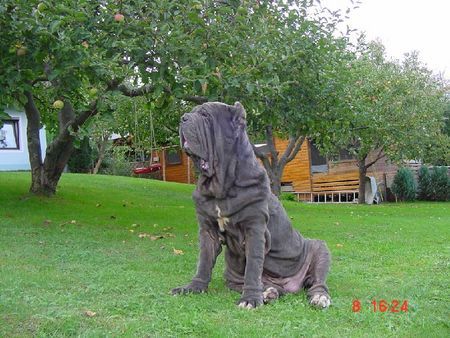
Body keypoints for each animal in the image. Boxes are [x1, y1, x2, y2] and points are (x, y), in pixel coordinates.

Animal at [172, 101, 330, 308]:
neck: (220, 185)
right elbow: (204, 261)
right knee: (271, 287)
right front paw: (193, 287)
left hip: (319, 248)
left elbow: (254, 264)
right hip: (232, 276)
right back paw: (269, 292)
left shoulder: (254, 228)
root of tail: (290, 286)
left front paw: (250, 299)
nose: (183, 118)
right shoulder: (207, 230)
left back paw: (318, 297)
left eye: (206, 115)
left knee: (318, 282)